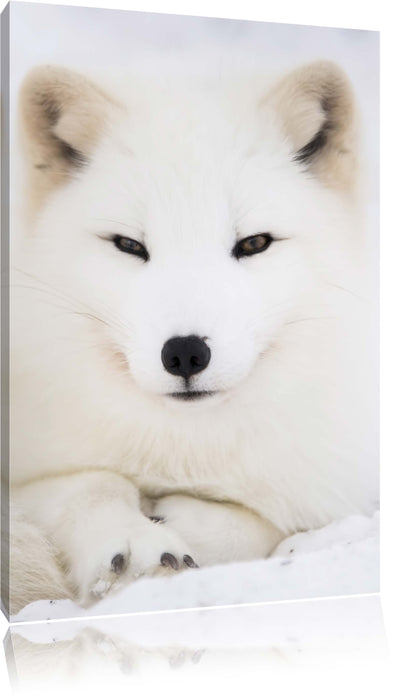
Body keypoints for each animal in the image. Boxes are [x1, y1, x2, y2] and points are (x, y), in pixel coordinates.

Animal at [7, 59, 378, 615]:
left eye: (254, 243)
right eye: (128, 245)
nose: (184, 353)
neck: (183, 447)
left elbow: (267, 525)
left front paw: (184, 525)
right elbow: (91, 484)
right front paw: (134, 543)